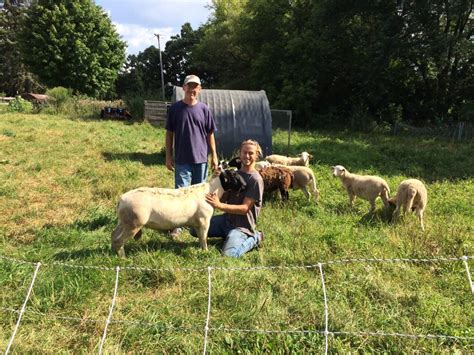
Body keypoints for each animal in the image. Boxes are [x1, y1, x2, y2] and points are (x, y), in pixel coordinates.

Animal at [111, 170, 244, 258]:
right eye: (233, 175)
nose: (244, 185)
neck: (211, 190)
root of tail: (121, 200)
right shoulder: (204, 220)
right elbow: (204, 238)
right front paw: (206, 252)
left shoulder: (197, 223)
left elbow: (200, 237)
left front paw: (200, 249)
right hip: (134, 223)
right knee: (118, 240)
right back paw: (123, 259)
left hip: (124, 222)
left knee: (114, 235)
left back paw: (113, 253)